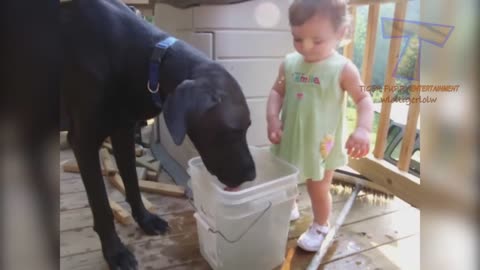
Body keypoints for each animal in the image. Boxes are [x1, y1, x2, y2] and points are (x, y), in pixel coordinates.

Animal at [62, 1, 256, 268]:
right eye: (232, 131)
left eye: (248, 127)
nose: (252, 175)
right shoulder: (84, 142)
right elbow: (101, 207)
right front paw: (115, 252)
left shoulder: (123, 133)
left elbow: (132, 183)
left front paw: (145, 220)